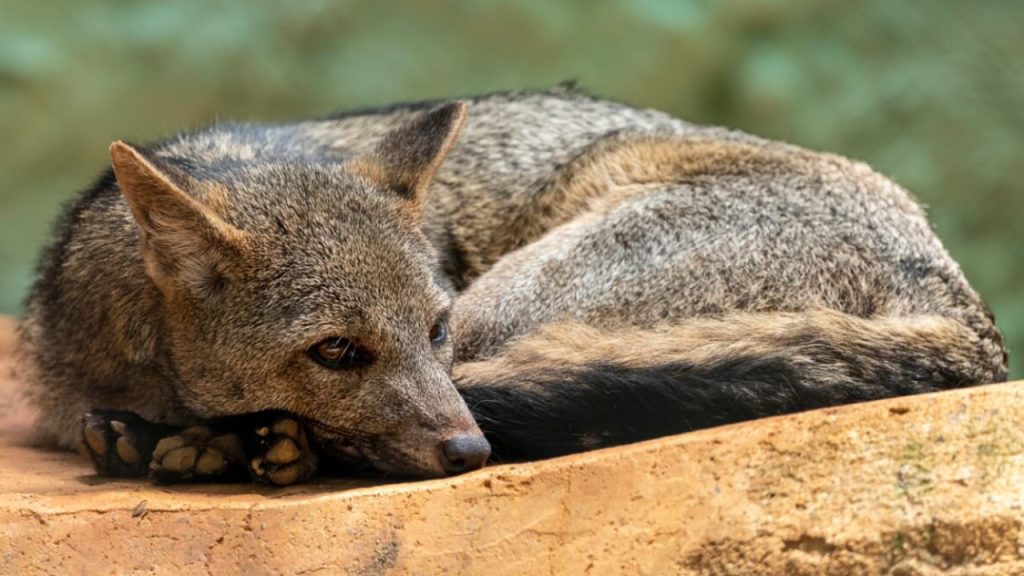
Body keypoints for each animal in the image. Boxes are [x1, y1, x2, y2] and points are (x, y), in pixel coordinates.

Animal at [16, 83, 1007, 481]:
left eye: (434, 329)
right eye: (336, 351)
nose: (468, 454)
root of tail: (967, 305)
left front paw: (218, 441)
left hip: (518, 303)